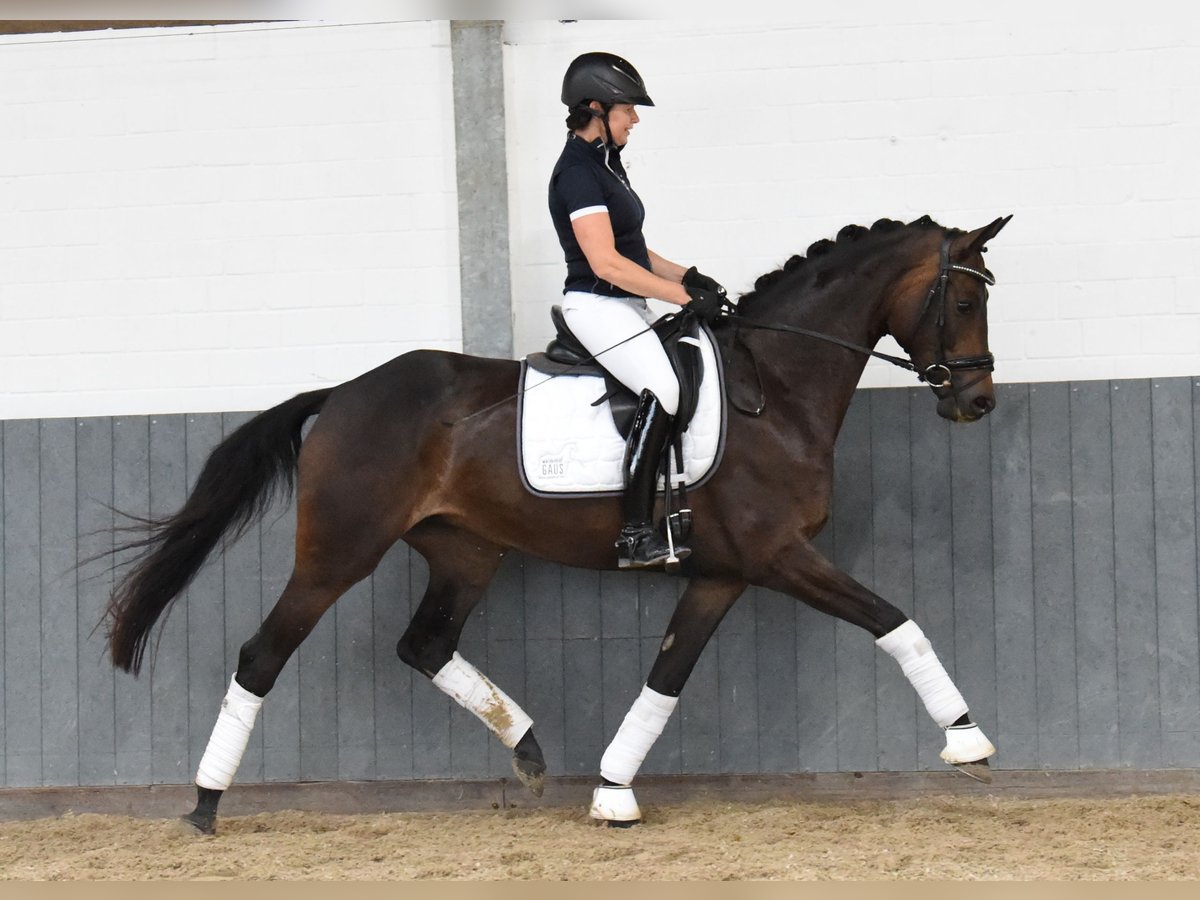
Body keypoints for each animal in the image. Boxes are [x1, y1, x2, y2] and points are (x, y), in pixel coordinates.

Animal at [103, 211, 1012, 830]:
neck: (776, 389)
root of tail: (343, 394)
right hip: (339, 552)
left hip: (467, 552)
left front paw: (612, 792)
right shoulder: (778, 554)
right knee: (263, 654)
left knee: (424, 644)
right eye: (965, 297)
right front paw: (968, 744)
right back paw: (204, 805)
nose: (977, 402)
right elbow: (896, 622)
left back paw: (529, 750)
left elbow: (666, 677)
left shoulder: (722, 573)